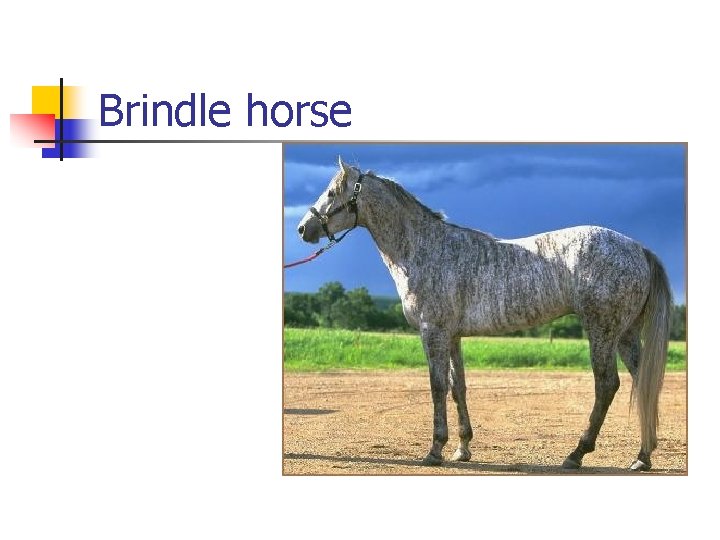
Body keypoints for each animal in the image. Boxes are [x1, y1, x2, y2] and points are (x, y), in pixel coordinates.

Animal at [295, 157, 672, 471]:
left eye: (332, 192)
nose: (302, 229)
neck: (425, 249)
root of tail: (638, 248)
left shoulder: (432, 332)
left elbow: (436, 386)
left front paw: (435, 450)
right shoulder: (453, 336)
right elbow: (457, 387)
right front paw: (462, 448)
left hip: (602, 331)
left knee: (607, 385)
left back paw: (577, 454)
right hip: (625, 334)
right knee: (644, 381)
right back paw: (642, 456)